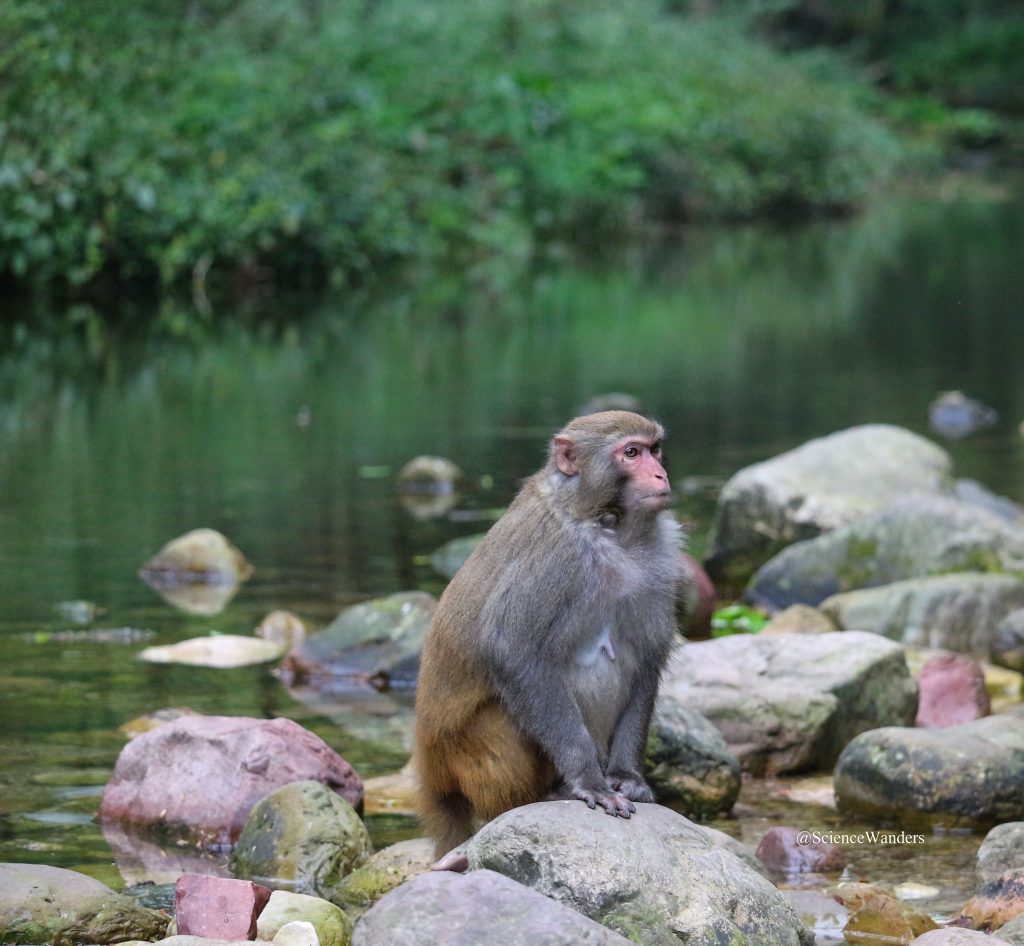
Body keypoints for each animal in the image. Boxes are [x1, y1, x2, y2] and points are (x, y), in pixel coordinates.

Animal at [411, 409, 684, 860]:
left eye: (655, 449)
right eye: (631, 453)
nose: (661, 474)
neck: (601, 521)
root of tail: (432, 767)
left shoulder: (660, 558)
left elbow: (646, 659)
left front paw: (627, 776)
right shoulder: (556, 557)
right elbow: (512, 649)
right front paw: (589, 780)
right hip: (470, 759)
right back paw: (543, 797)